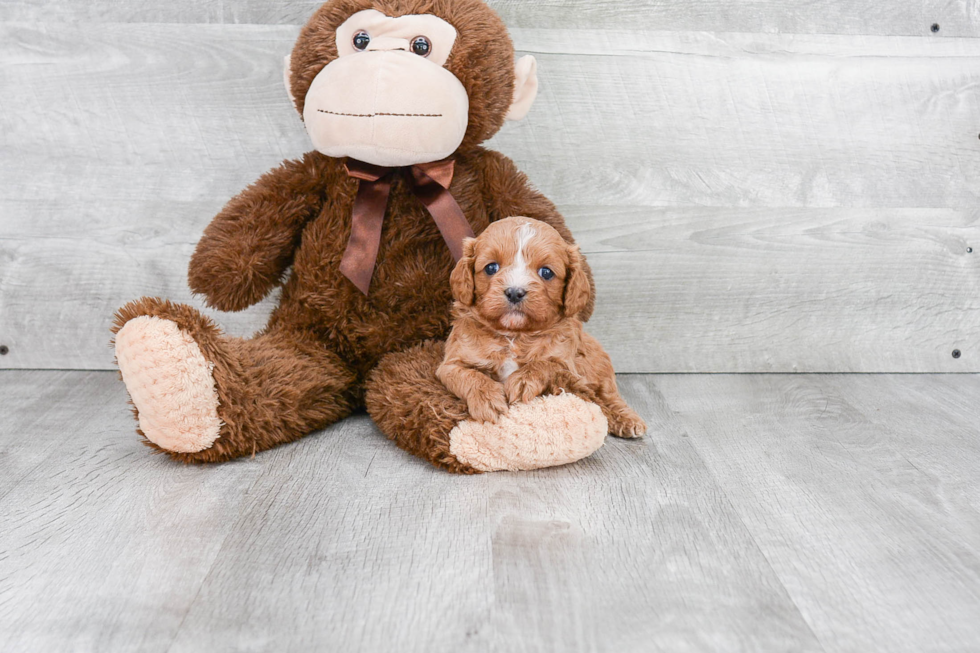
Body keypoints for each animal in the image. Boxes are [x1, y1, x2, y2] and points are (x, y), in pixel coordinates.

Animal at [436, 215, 644, 438]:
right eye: (491, 268)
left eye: (546, 272)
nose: (515, 292)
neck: (514, 335)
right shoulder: (451, 364)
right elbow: (469, 375)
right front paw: (487, 399)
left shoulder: (565, 363)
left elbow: (545, 364)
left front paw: (523, 380)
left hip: (599, 364)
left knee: (608, 395)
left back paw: (627, 419)